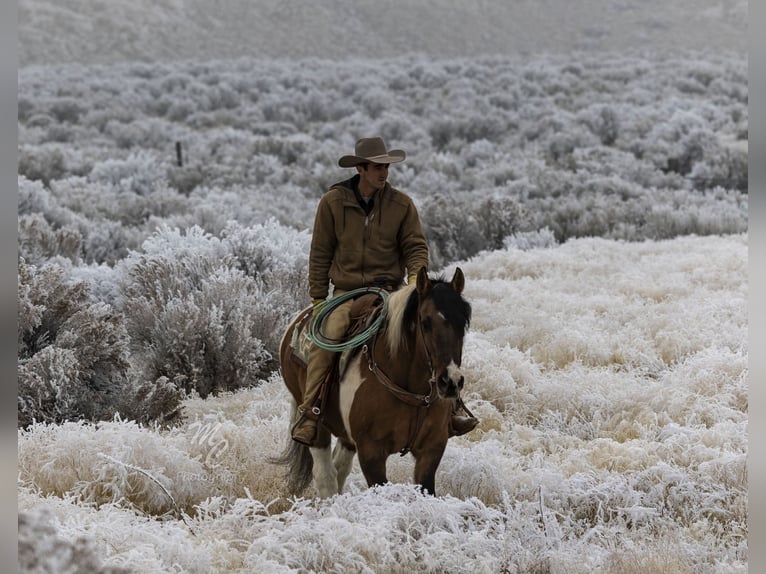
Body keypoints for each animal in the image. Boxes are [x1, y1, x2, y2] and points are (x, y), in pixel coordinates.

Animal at [272, 268, 472, 500]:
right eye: (426, 322)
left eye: (463, 323)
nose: (451, 382)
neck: (412, 391)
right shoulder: (371, 453)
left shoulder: (431, 449)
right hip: (316, 427)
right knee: (325, 476)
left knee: (340, 468)